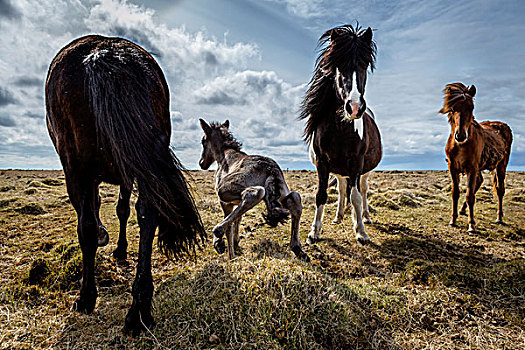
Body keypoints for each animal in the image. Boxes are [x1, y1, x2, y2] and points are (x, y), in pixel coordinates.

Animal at [45, 34, 205, 334]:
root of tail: (104, 51)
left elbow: (99, 212)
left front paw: (109, 241)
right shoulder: (127, 172)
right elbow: (123, 210)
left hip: (76, 166)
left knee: (86, 225)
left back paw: (87, 296)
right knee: (148, 214)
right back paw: (139, 309)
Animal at [199, 119, 310, 262]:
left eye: (203, 141)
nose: (202, 163)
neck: (225, 155)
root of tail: (270, 169)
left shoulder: (225, 202)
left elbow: (230, 224)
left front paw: (227, 252)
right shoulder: (236, 203)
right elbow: (237, 218)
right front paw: (235, 243)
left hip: (224, 190)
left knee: (255, 193)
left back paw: (218, 230)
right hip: (282, 195)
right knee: (295, 198)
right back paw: (297, 248)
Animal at [300, 24, 382, 245]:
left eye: (364, 65)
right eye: (338, 65)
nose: (354, 107)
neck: (340, 129)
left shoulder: (356, 162)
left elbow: (356, 197)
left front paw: (361, 232)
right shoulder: (322, 163)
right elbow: (321, 195)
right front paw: (314, 232)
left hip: (364, 170)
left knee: (362, 190)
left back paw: (366, 217)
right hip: (339, 170)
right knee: (343, 189)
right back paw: (339, 216)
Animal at [438, 82, 512, 232]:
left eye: (471, 107)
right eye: (453, 108)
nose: (460, 136)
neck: (461, 145)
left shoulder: (471, 168)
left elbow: (470, 195)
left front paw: (471, 225)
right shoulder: (453, 168)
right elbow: (455, 193)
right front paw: (453, 220)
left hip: (501, 166)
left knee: (500, 190)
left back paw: (499, 217)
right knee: (480, 181)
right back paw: (462, 210)